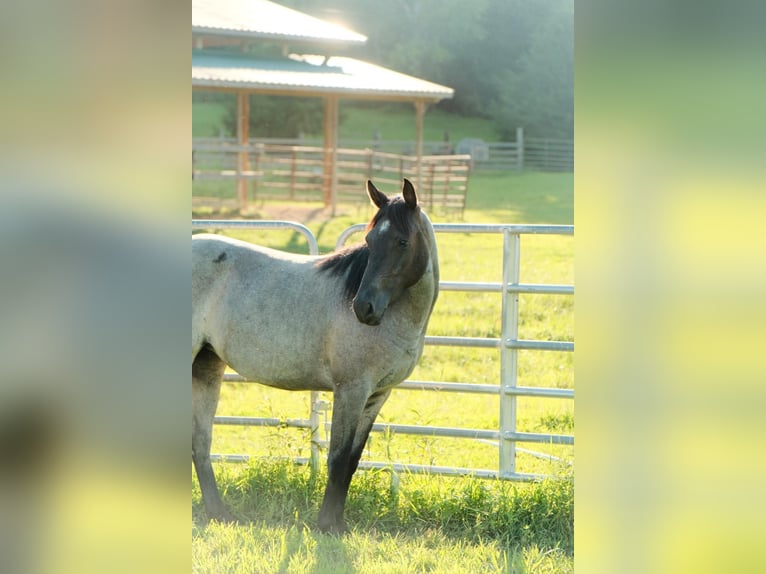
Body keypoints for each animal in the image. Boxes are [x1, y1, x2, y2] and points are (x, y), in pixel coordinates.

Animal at [192, 179, 439, 533]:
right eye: (369, 240)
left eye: (402, 242)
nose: (363, 308)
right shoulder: (350, 390)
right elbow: (337, 458)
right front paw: (327, 526)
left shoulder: (377, 395)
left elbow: (351, 461)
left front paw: (337, 522)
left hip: (206, 367)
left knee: (200, 443)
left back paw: (219, 513)